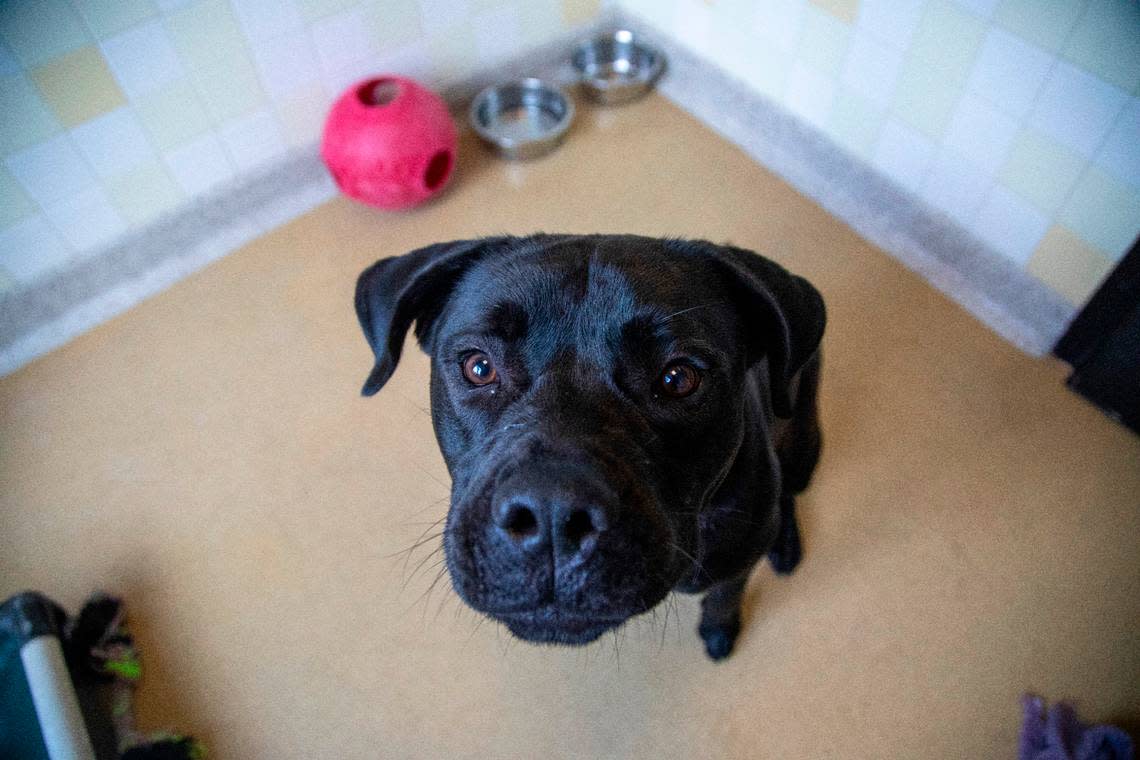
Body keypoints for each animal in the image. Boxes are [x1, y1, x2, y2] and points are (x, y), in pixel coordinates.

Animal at [351, 235, 825, 660]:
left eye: (678, 378)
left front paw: (719, 630)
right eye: (479, 367)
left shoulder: (738, 558)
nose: (552, 515)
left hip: (802, 443)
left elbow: (725, 595)